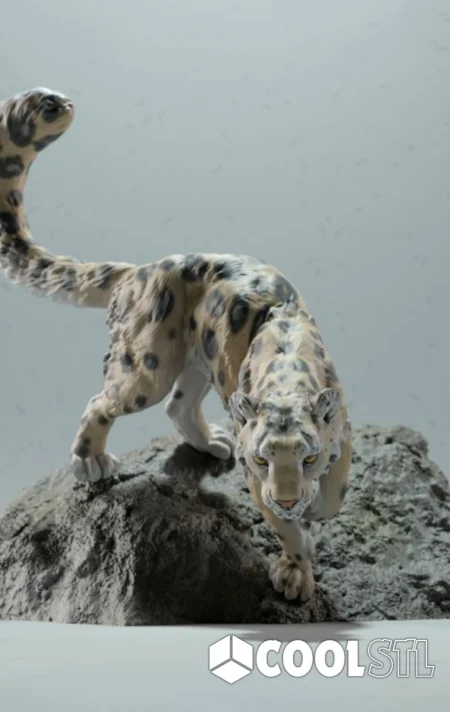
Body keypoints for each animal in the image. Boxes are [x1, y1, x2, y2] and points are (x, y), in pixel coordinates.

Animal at [0, 87, 352, 602]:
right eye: (261, 458)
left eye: (307, 456)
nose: (287, 495)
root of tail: (140, 270)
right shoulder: (256, 478)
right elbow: (283, 528)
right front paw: (294, 570)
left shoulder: (341, 431)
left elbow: (333, 491)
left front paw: (314, 509)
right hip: (148, 367)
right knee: (102, 402)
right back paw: (91, 461)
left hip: (200, 363)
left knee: (179, 406)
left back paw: (212, 442)